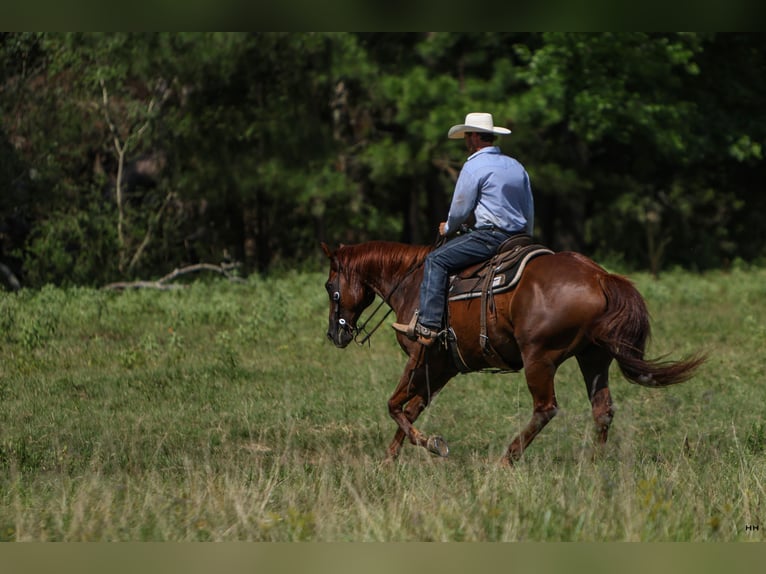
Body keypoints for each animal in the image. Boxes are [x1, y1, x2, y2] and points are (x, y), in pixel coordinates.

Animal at [320, 241, 704, 466]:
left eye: (328, 285)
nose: (335, 334)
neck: (413, 284)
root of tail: (598, 276)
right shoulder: (441, 367)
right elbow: (411, 409)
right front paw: (390, 459)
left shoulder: (421, 358)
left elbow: (394, 405)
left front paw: (431, 444)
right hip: (593, 358)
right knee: (603, 410)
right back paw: (593, 464)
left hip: (539, 359)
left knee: (546, 409)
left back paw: (508, 458)